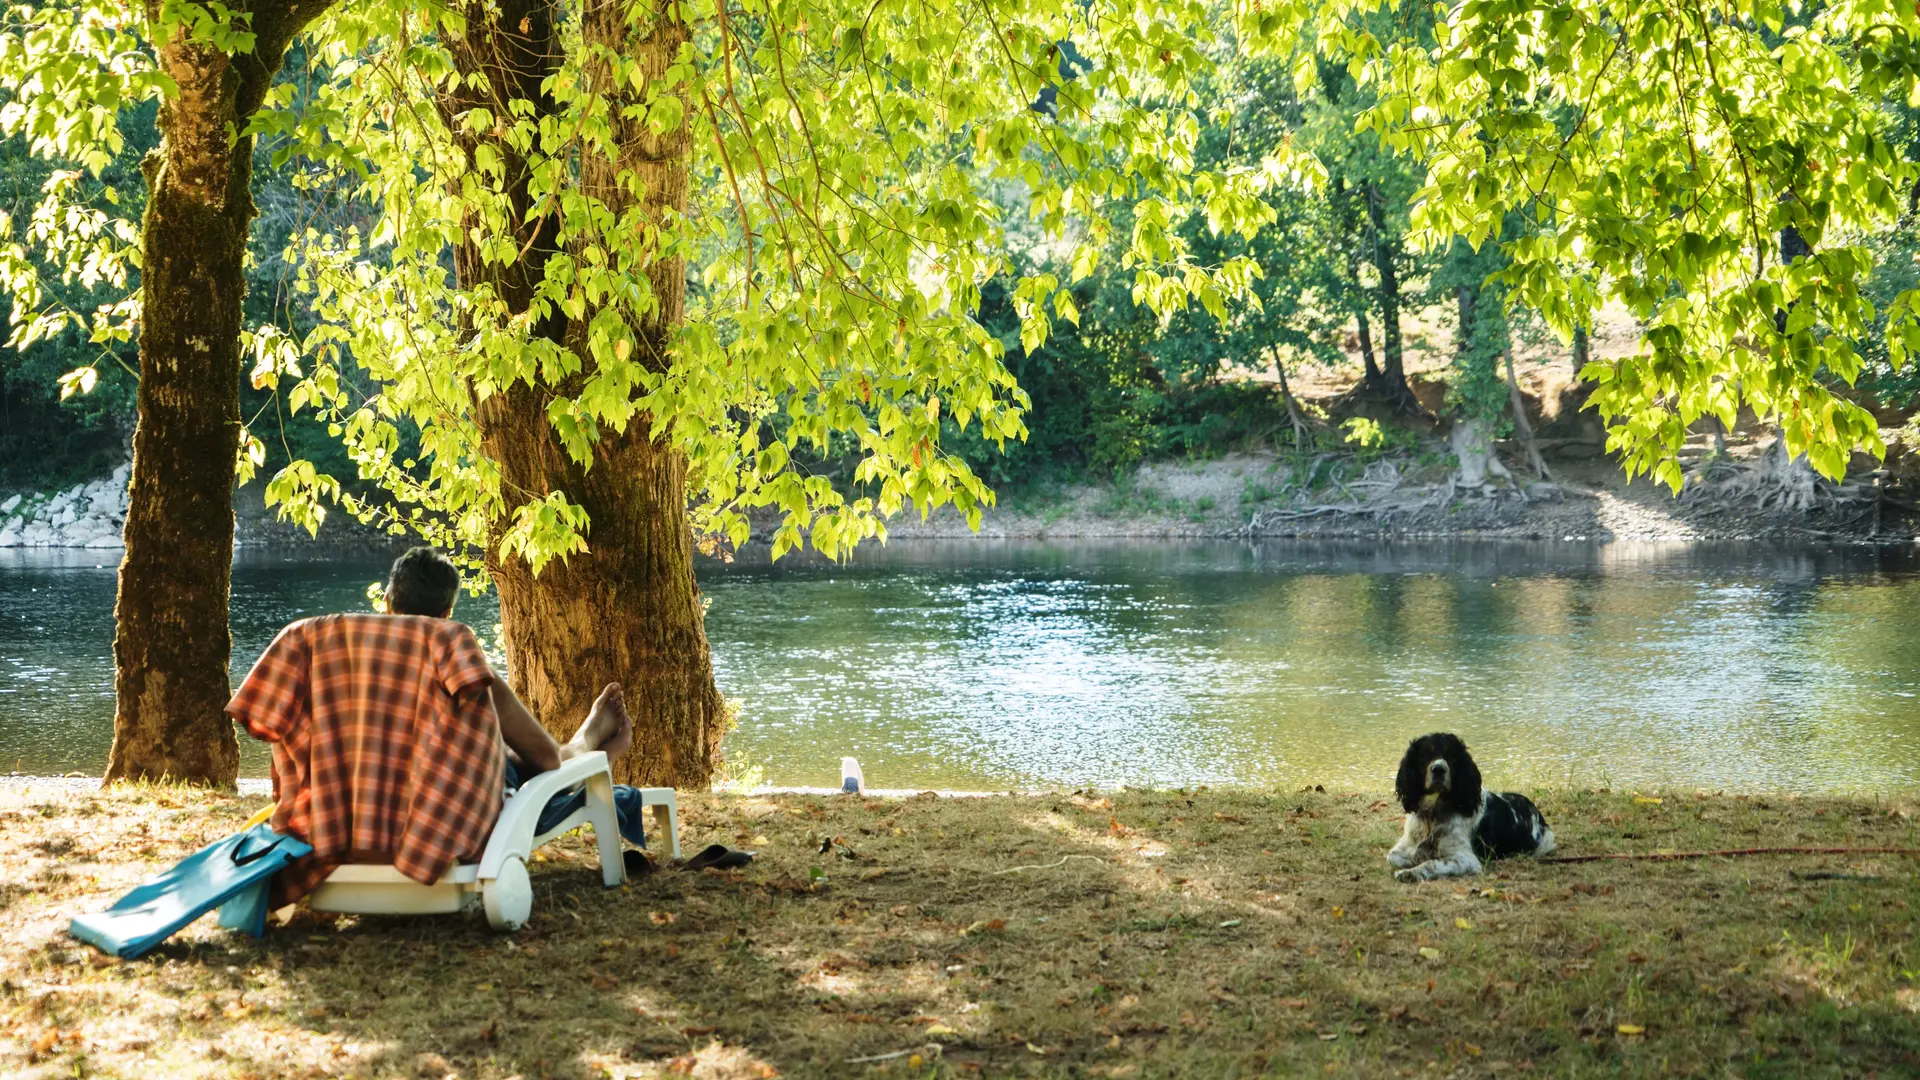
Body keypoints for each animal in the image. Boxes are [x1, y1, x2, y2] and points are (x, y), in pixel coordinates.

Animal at [1390, 726, 1551, 880]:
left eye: (1452, 756)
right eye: (1425, 755)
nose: (1439, 770)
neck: (1432, 814)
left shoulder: (1466, 860)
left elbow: (1431, 863)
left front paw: (1409, 873)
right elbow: (1394, 857)